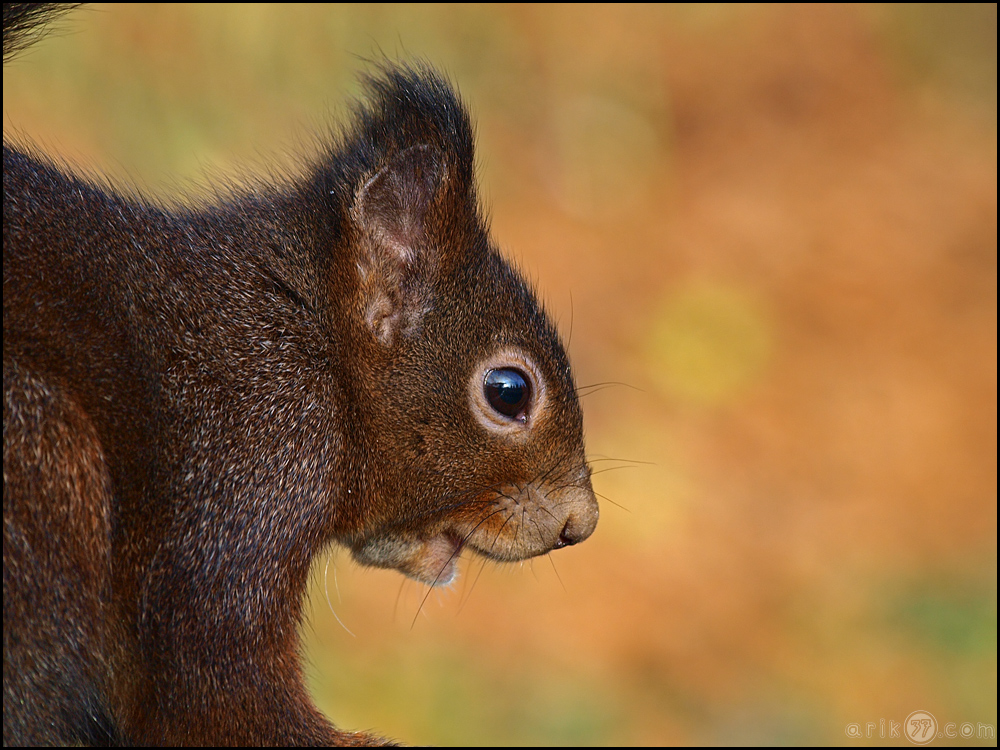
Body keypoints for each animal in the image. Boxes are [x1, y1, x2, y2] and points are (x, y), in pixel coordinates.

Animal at [0, 2, 596, 748]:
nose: (581, 523)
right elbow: (217, 701)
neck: (314, 358)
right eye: (509, 392)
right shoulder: (236, 486)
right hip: (47, 464)